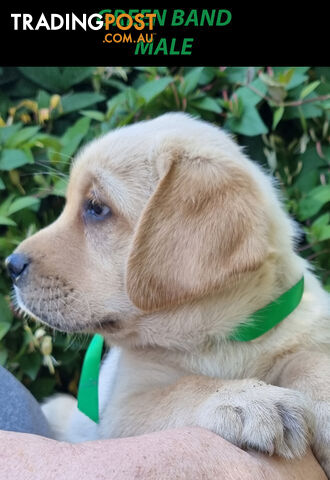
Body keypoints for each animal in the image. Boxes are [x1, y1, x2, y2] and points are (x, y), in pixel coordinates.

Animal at [7, 113, 330, 476]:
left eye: (96, 208)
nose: (10, 265)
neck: (217, 339)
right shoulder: (123, 407)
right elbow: (183, 388)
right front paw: (247, 399)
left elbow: (306, 358)